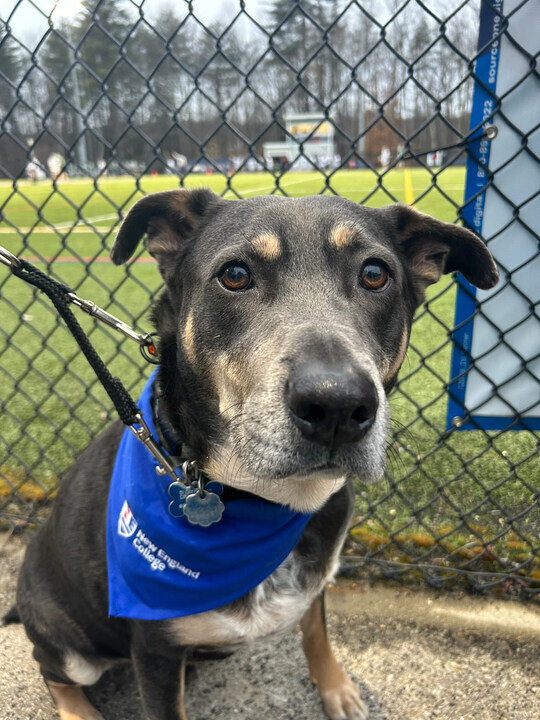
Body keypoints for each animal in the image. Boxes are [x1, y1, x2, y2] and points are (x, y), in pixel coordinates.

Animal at [15, 191, 498, 720]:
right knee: (54, 672)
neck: (262, 498)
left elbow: (316, 632)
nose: (337, 405)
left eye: (375, 273)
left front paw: (335, 687)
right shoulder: (154, 651)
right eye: (235, 274)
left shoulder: (316, 582)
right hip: (67, 641)